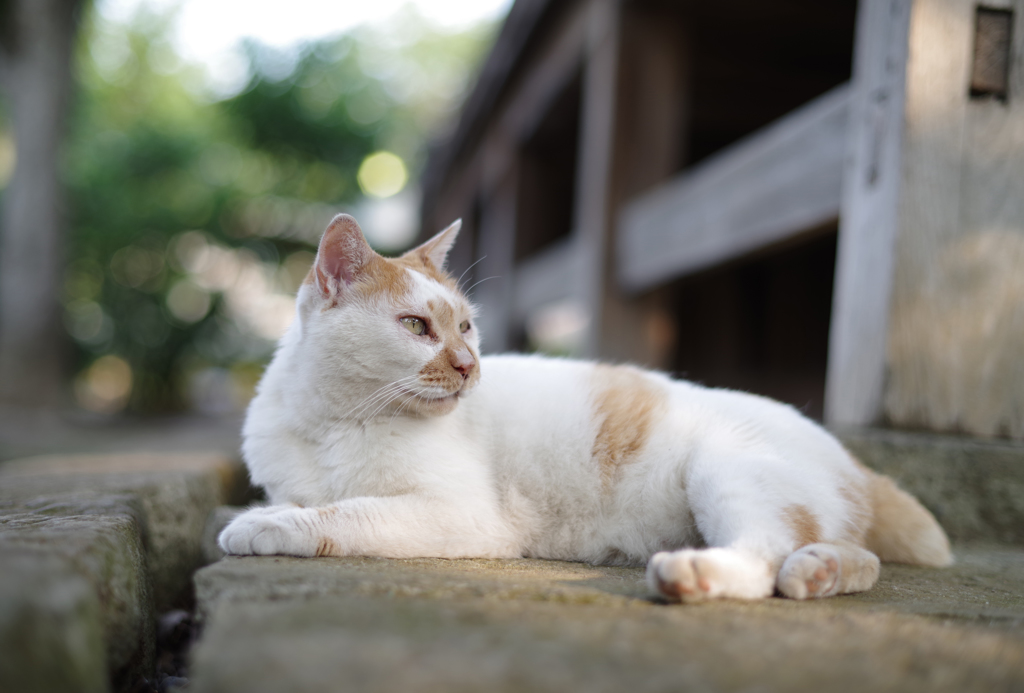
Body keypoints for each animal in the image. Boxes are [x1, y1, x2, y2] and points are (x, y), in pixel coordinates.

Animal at [218, 211, 950, 601]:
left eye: (468, 327)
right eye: (417, 327)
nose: (470, 365)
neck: (334, 422)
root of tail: (848, 455)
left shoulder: (461, 514)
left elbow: (346, 511)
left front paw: (266, 525)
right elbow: (309, 498)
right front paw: (273, 509)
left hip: (728, 471)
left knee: (762, 555)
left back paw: (694, 573)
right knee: (850, 557)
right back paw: (818, 571)